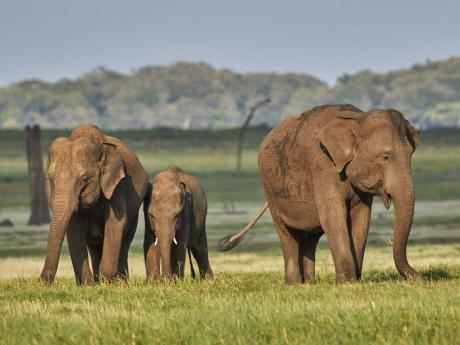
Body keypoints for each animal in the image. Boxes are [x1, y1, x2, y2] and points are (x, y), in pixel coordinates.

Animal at [40, 125, 149, 284]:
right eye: (51, 179)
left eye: (84, 179)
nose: (42, 280)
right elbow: (74, 228)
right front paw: (88, 285)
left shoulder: (118, 187)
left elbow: (116, 223)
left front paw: (107, 281)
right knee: (95, 245)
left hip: (134, 212)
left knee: (125, 241)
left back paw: (120, 282)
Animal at [218, 104, 420, 282]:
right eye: (385, 157)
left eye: (411, 155)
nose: (419, 278)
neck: (357, 119)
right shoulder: (322, 165)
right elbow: (333, 216)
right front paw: (348, 283)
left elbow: (361, 219)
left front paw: (356, 280)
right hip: (270, 189)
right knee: (286, 233)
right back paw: (293, 283)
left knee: (311, 236)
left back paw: (309, 282)